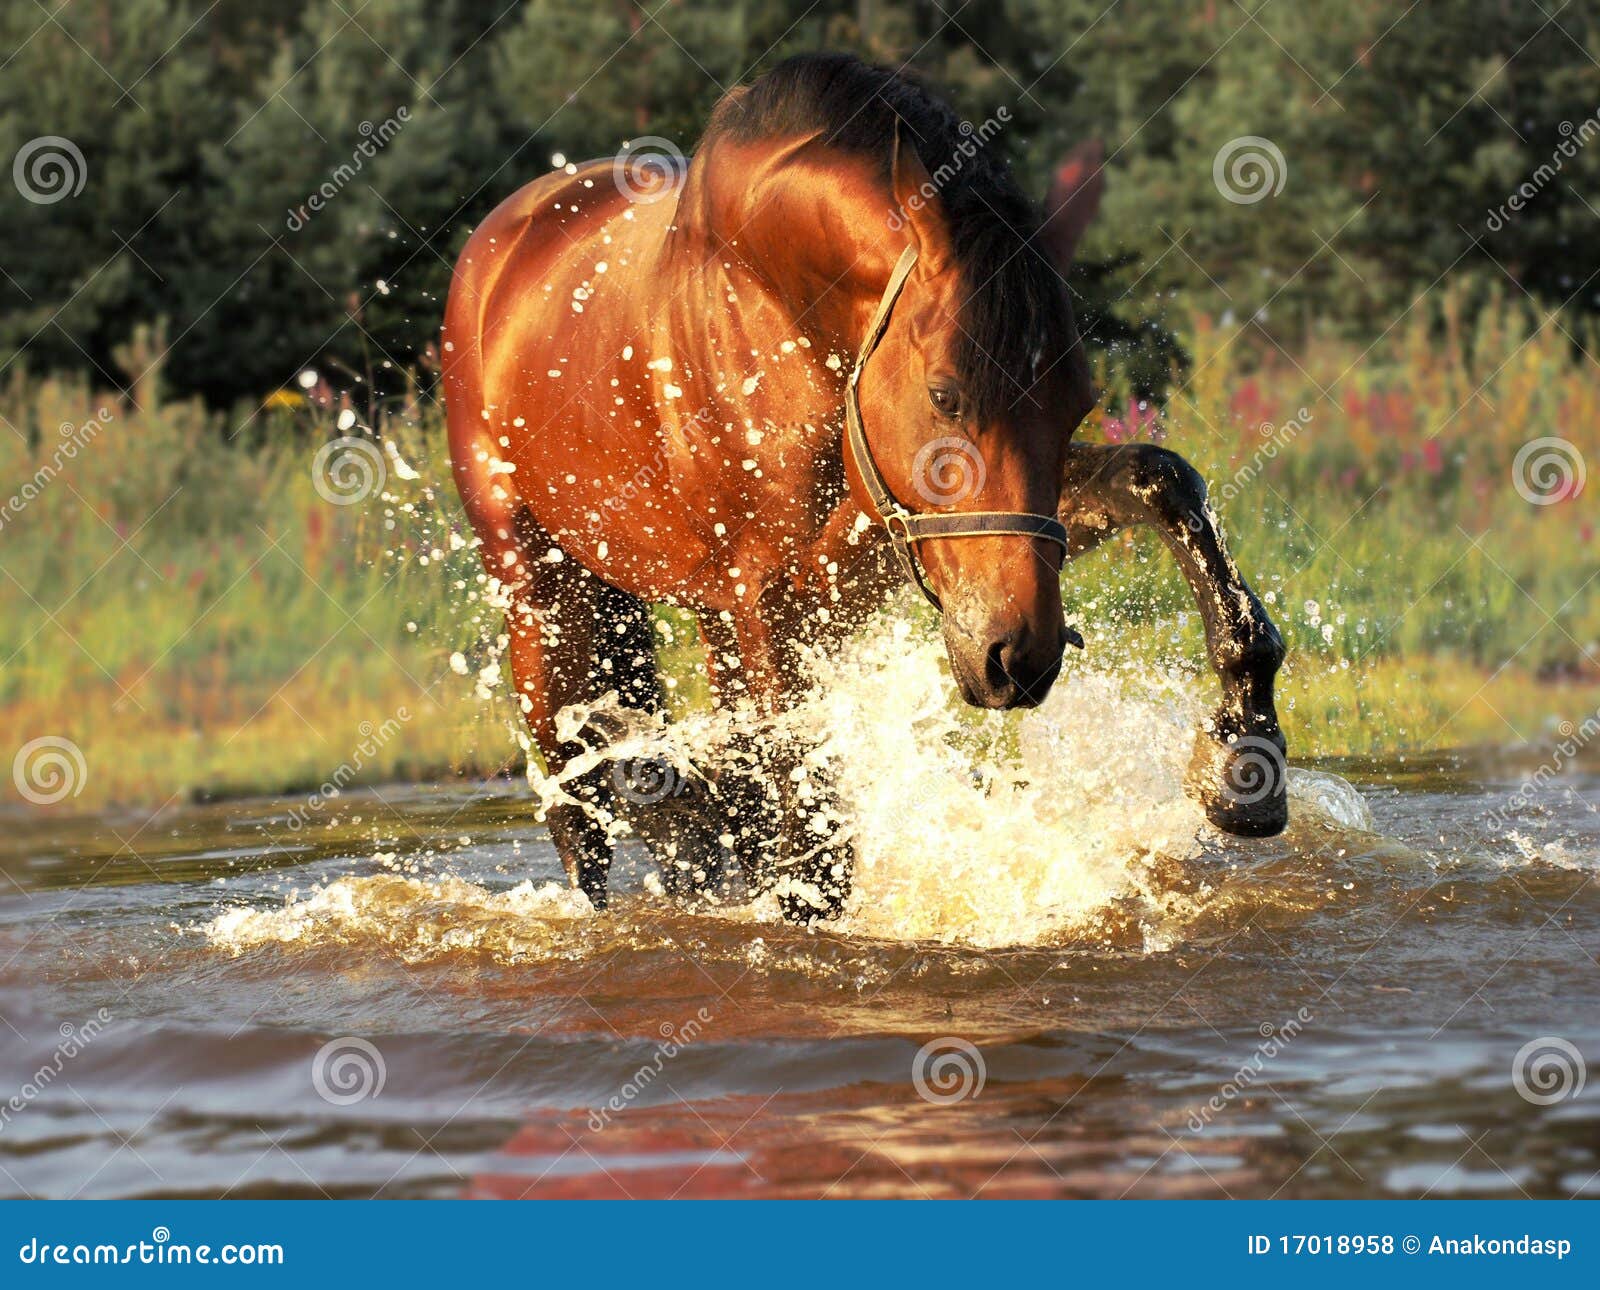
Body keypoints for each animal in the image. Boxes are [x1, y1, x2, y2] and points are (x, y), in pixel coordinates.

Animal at [442, 53, 1287, 923]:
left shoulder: (894, 550)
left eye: (1077, 400)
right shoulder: (766, 597)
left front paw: (1243, 759)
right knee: (581, 809)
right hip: (542, 597)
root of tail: (500, 247)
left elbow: (1162, 478)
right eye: (947, 395)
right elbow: (812, 851)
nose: (1020, 656)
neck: (782, 312)